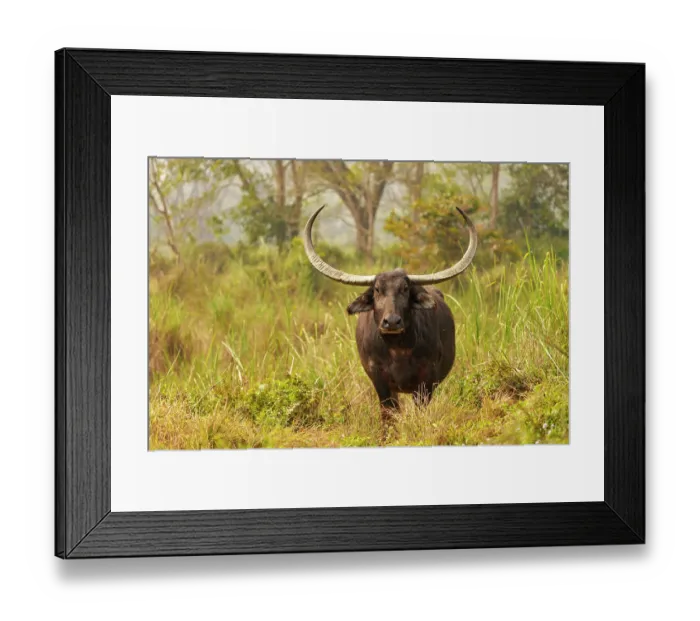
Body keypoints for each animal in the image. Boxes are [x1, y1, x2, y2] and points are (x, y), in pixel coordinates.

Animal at [303, 205, 477, 423]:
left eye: (405, 288)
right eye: (377, 289)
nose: (392, 322)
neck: (398, 349)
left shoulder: (426, 380)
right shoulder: (380, 379)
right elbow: (389, 414)